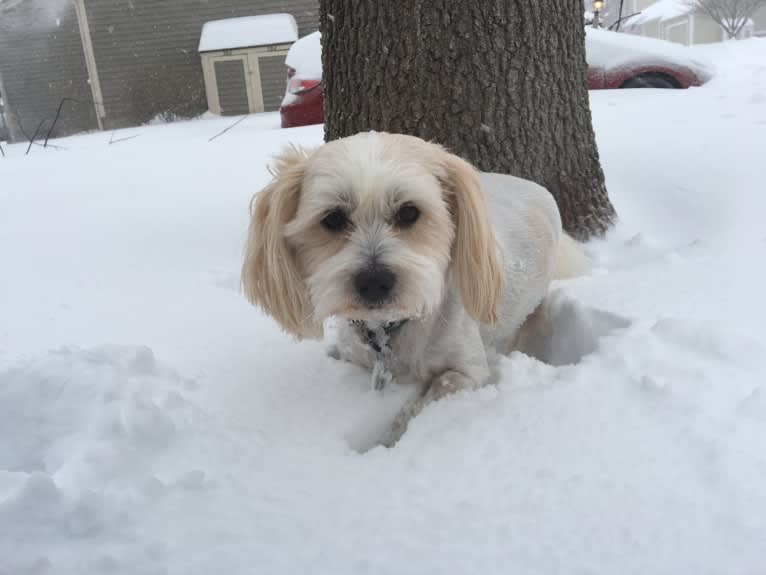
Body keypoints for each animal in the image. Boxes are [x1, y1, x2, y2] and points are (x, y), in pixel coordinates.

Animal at [243, 132, 584, 446]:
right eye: (333, 218)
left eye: (409, 212)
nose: (374, 282)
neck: (391, 327)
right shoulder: (355, 356)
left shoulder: (467, 372)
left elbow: (422, 402)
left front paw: (388, 442)